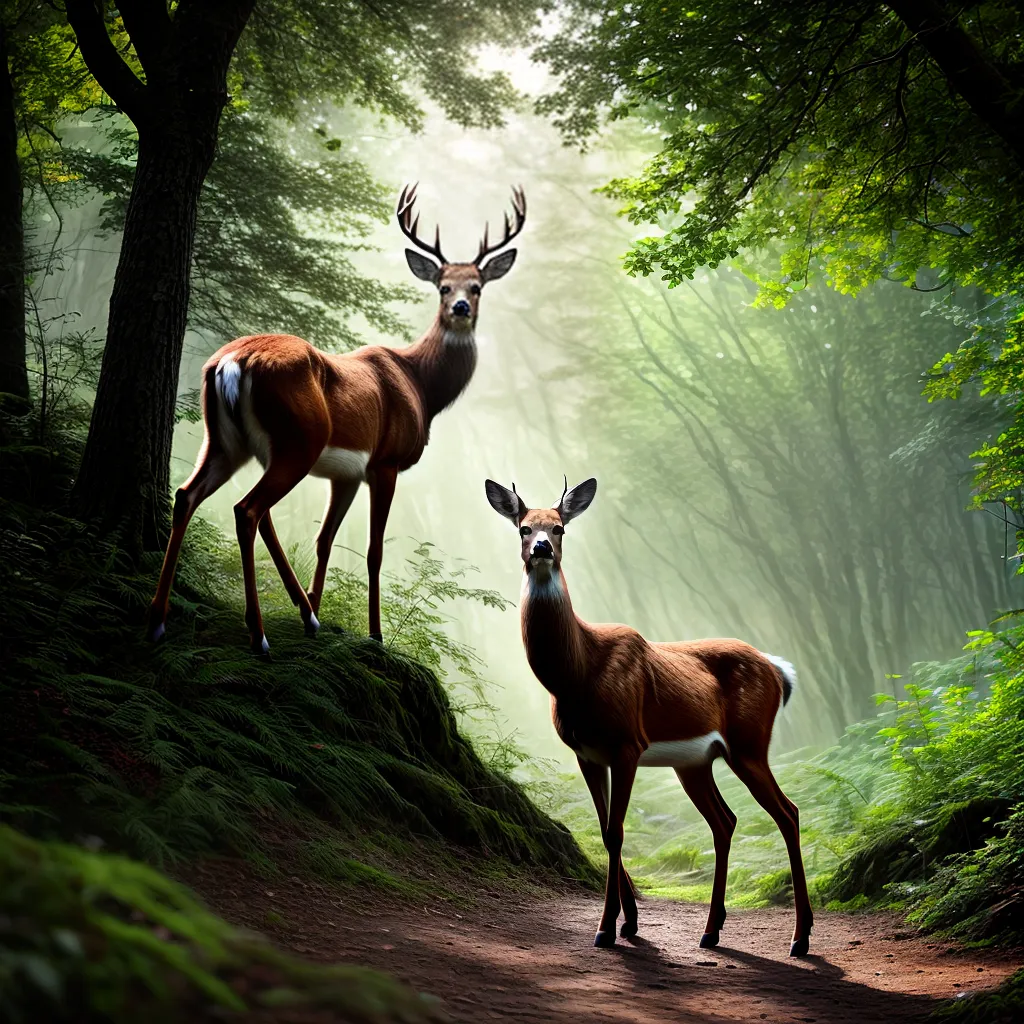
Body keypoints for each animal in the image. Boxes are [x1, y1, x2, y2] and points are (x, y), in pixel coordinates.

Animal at [147, 184, 525, 654]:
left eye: (477, 287)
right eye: (442, 286)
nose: (459, 307)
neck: (420, 384)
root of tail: (233, 362)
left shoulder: (345, 474)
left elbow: (325, 539)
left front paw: (316, 607)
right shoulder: (385, 462)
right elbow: (374, 550)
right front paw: (375, 633)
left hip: (224, 441)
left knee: (189, 495)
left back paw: (163, 619)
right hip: (299, 442)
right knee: (247, 509)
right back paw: (259, 634)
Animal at [484, 476, 813, 957]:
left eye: (560, 527)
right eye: (523, 528)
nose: (542, 547)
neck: (578, 673)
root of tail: (777, 670)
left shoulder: (627, 744)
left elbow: (617, 831)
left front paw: (606, 928)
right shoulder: (586, 752)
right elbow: (605, 830)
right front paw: (630, 922)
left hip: (749, 744)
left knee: (788, 813)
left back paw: (800, 938)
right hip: (694, 762)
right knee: (725, 821)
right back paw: (711, 931)